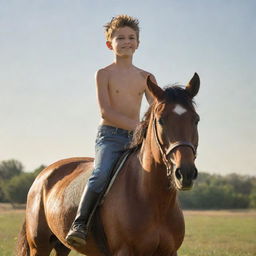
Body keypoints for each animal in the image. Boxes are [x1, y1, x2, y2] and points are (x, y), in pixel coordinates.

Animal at [16, 73, 200, 255]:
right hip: (39, 246)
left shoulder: (170, 252)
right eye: (161, 120)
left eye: (196, 119)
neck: (153, 199)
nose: (185, 173)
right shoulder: (123, 251)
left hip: (61, 245)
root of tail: (42, 175)